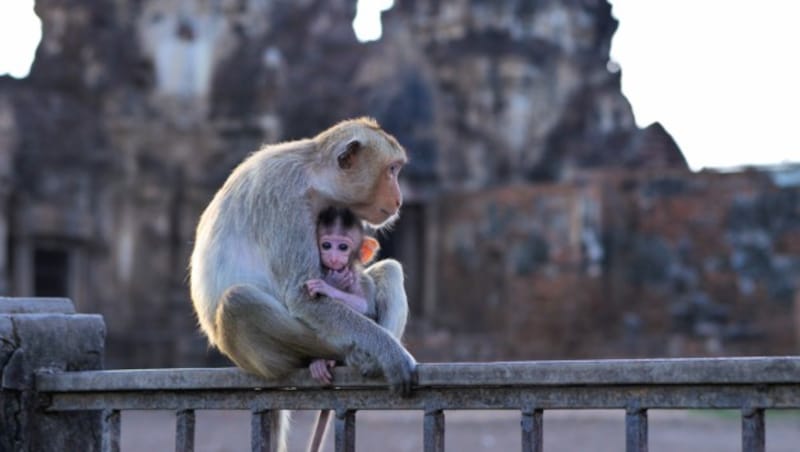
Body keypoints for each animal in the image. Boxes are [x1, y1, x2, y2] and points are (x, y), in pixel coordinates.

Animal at [306, 207, 382, 384]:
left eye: (342, 247)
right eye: (326, 245)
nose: (333, 257)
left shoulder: (358, 277)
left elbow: (365, 307)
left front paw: (329, 286)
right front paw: (332, 281)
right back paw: (319, 363)